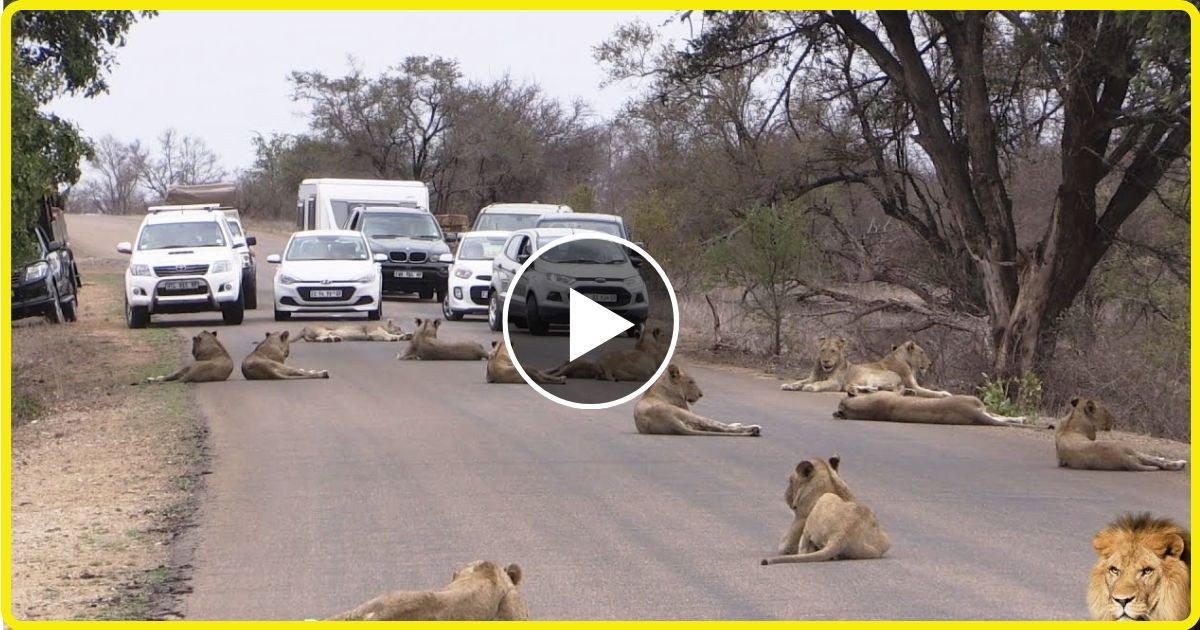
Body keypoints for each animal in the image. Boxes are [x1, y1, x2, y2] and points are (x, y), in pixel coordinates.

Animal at [758, 453, 892, 561]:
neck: (831, 482)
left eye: (790, 481)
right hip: (885, 541)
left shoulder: (798, 521)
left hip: (824, 501)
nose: (785, 495)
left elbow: (784, 547)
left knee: (804, 546)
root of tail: (841, 536)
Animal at [1056, 396, 1185, 468]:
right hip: (1126, 446)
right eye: (1105, 410)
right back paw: (1180, 463)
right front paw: (1162, 457)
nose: (1114, 418)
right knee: (1153, 460)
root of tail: (1125, 460)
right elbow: (1150, 456)